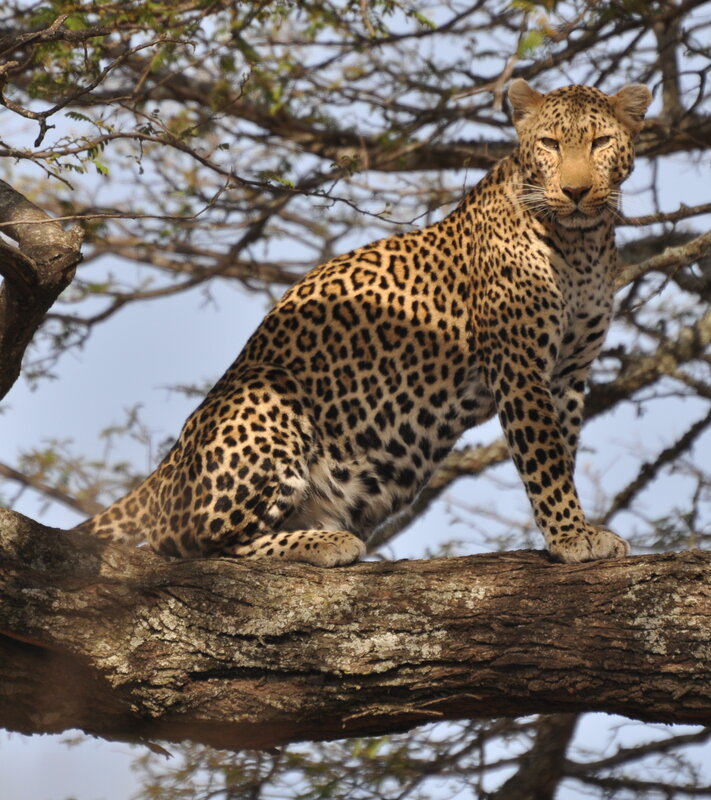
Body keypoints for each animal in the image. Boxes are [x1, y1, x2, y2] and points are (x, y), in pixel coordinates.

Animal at [75, 79, 653, 567]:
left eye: (601, 142)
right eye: (550, 144)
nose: (576, 191)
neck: (580, 245)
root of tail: (167, 469)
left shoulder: (568, 372)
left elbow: (563, 452)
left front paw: (572, 529)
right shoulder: (520, 365)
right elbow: (545, 459)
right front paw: (571, 536)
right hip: (265, 391)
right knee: (192, 544)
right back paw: (324, 542)